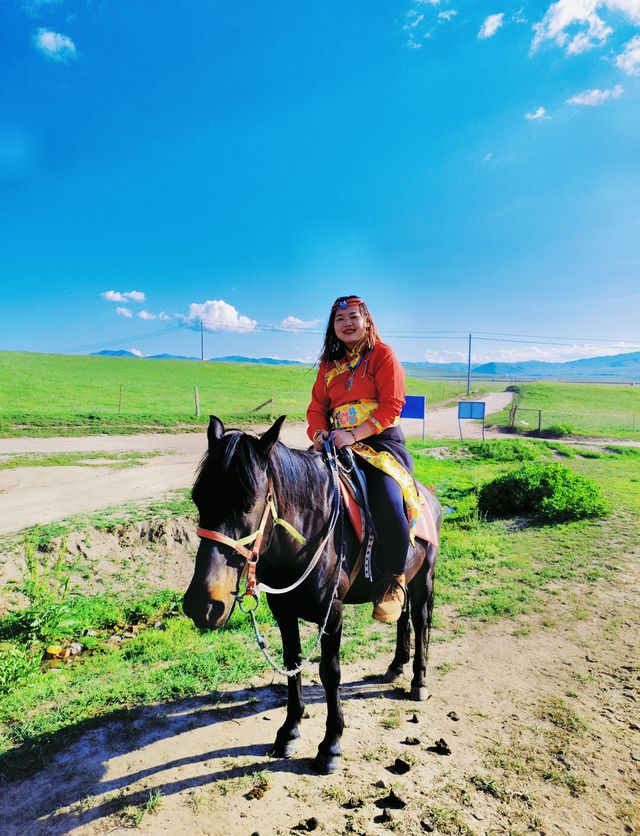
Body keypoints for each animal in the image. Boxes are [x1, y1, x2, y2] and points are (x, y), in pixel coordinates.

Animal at [182, 414, 438, 772]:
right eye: (198, 499)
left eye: (248, 505)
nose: (202, 605)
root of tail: (429, 497)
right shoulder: (283, 612)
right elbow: (293, 664)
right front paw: (289, 731)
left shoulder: (333, 613)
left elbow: (330, 673)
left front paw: (331, 745)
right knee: (402, 616)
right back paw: (397, 665)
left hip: (423, 578)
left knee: (421, 619)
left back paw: (419, 681)